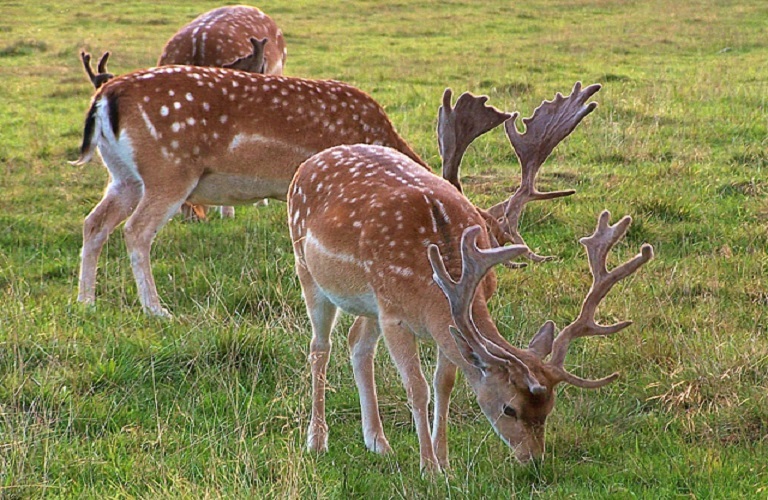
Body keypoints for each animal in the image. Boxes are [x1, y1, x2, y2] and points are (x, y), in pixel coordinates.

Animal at [71, 65, 428, 316]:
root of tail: (105, 95)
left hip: (124, 176)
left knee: (94, 223)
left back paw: (86, 301)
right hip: (169, 170)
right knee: (136, 230)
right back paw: (156, 310)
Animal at [288, 83, 656, 472]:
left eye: (550, 408)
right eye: (509, 408)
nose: (533, 459)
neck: (433, 282)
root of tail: (309, 163)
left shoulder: (436, 318)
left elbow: (444, 382)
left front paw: (444, 461)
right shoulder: (394, 316)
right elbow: (416, 386)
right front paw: (429, 467)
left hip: (367, 299)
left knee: (357, 342)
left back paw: (378, 442)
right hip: (307, 268)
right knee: (320, 347)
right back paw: (317, 440)